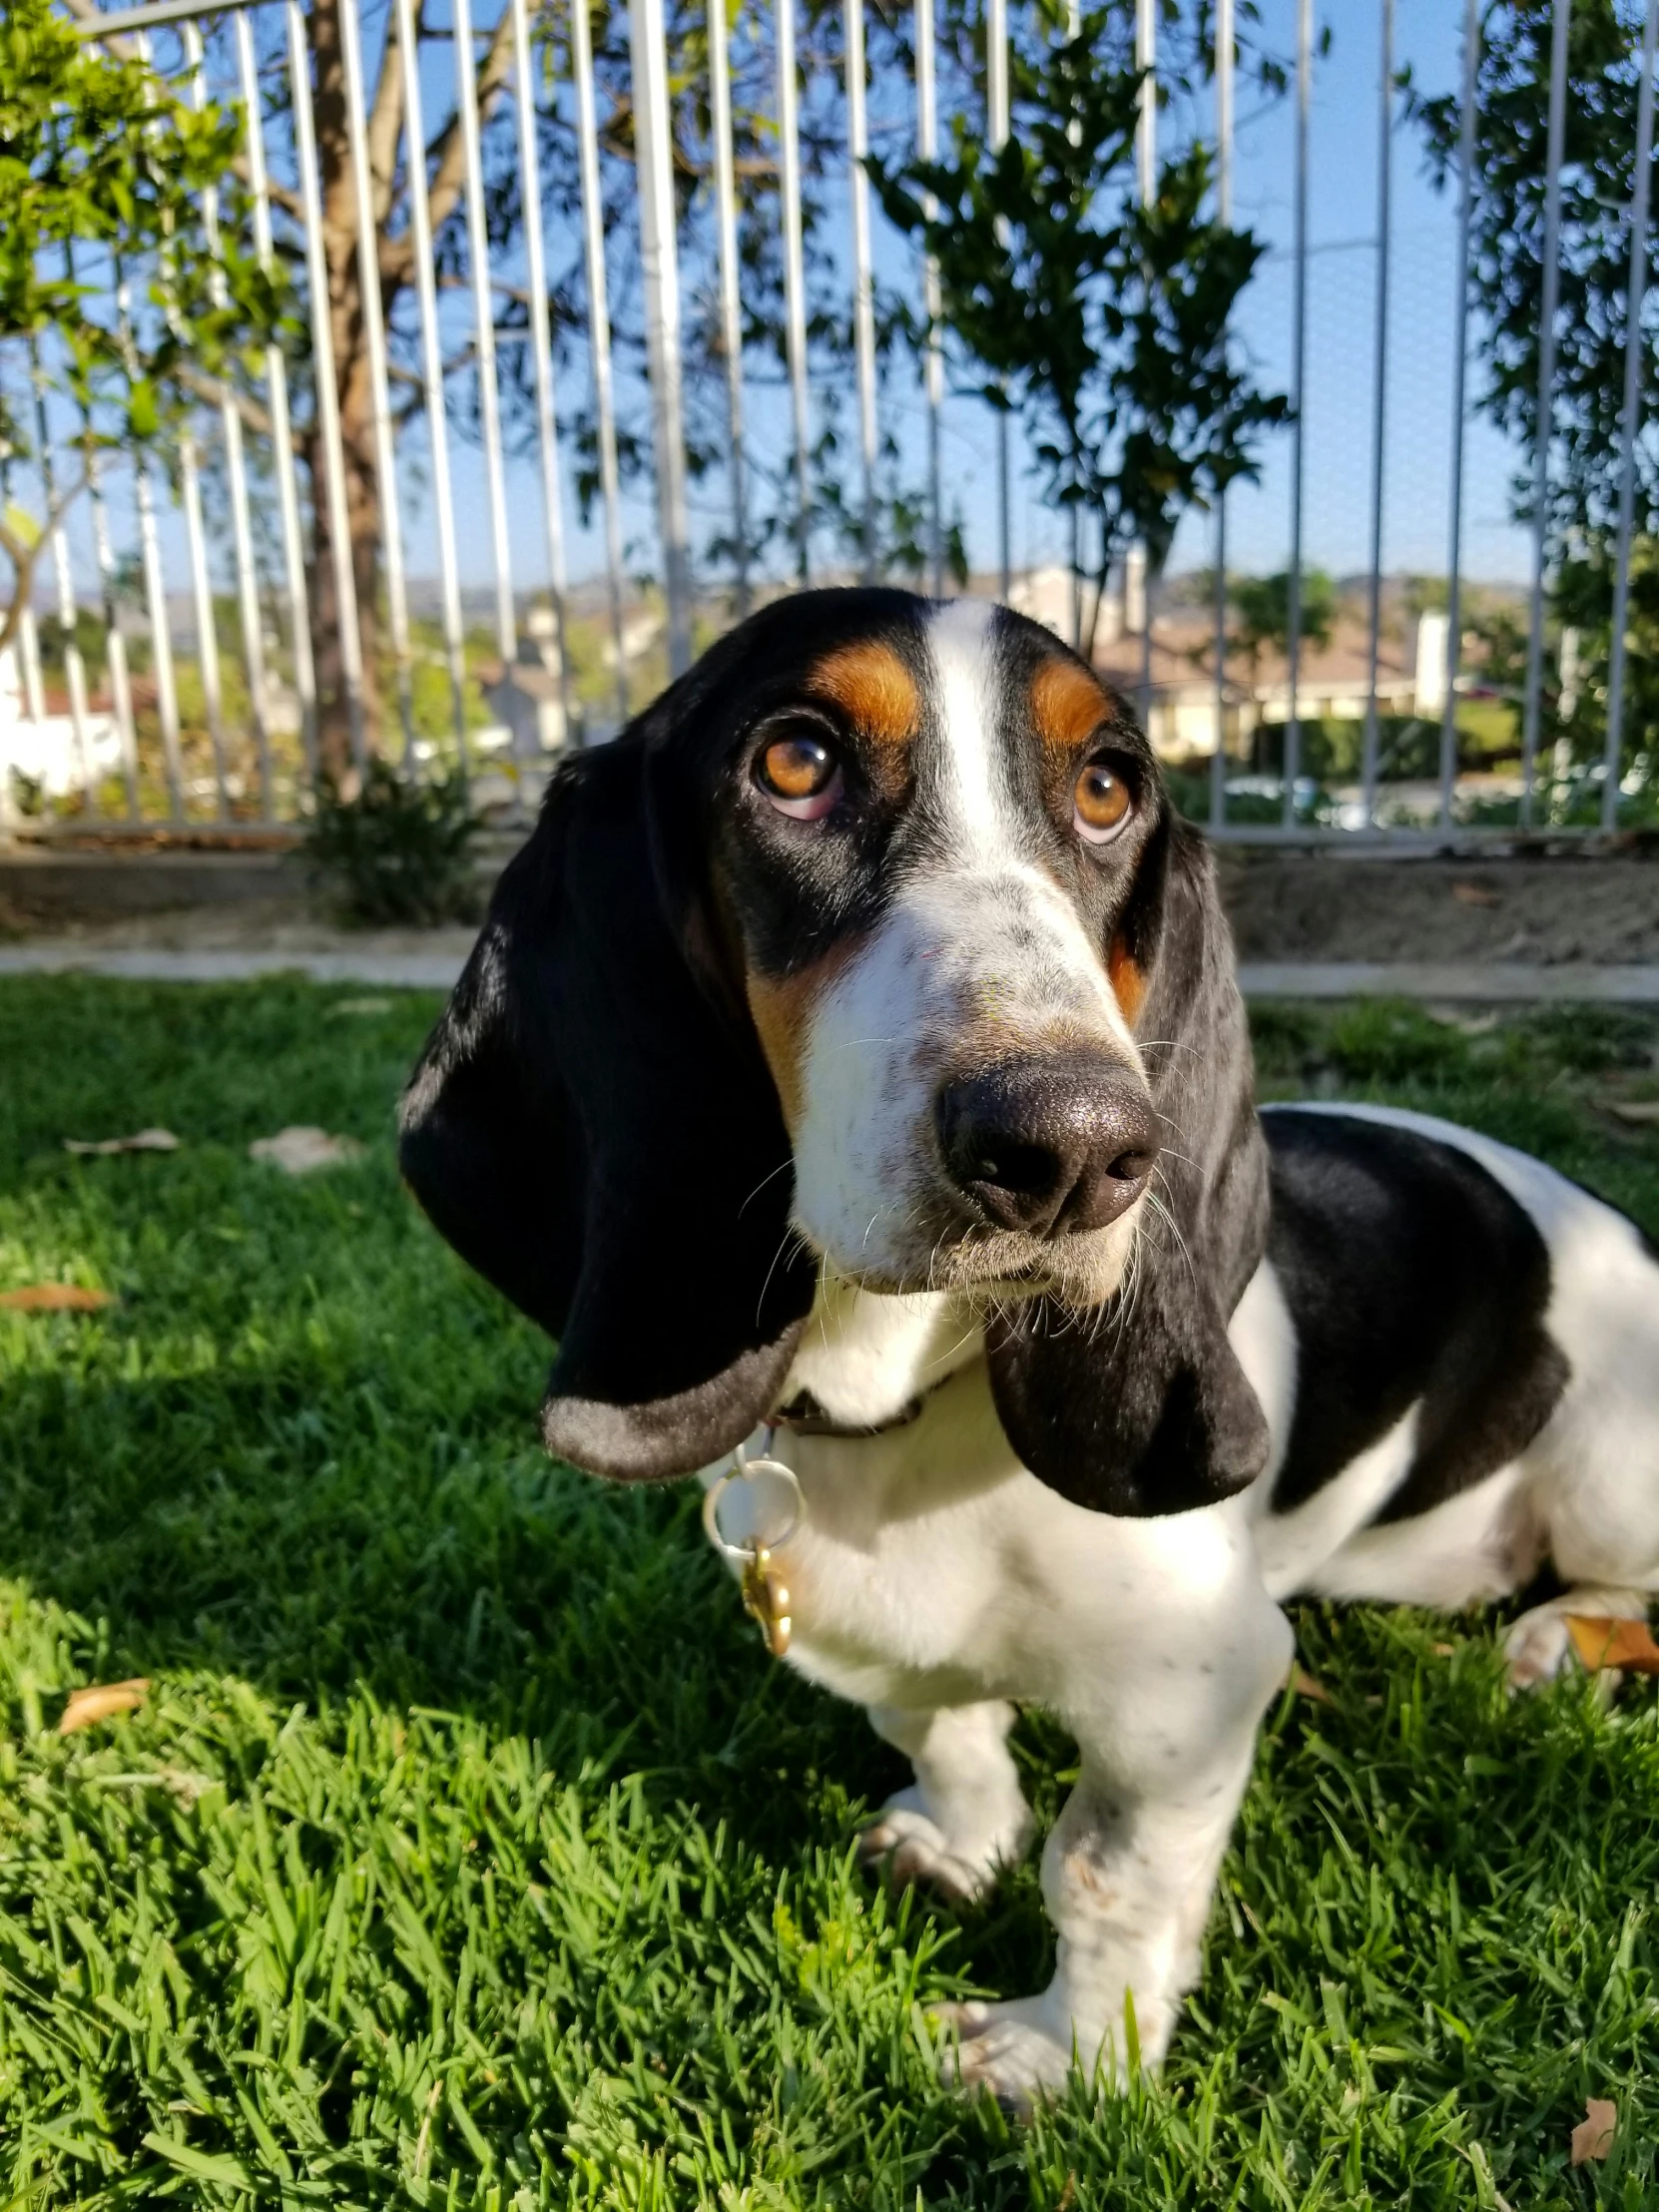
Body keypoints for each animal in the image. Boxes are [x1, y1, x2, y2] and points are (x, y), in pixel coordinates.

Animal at [400, 588, 1659, 2105]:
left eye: (1108, 789)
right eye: (795, 762)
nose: (1071, 1149)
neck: (904, 1405)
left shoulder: (1192, 1696)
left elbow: (1100, 1875)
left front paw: (1068, 2062)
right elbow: (939, 1730)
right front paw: (958, 1838)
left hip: (1611, 1479)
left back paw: (1549, 1641)